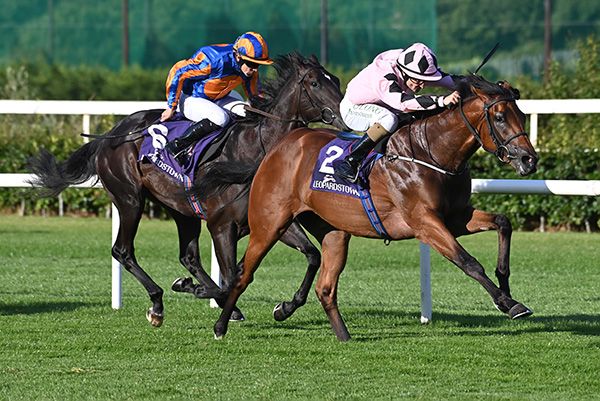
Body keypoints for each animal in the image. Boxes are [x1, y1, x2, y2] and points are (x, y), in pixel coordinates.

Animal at [27, 53, 346, 326]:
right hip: (130, 200)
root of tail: (112, 134)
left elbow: (312, 255)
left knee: (188, 256)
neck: (254, 151)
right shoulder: (221, 225)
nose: (344, 116)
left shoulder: (270, 219)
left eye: (335, 80)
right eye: (315, 83)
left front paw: (284, 307)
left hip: (181, 210)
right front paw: (196, 289)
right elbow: (232, 277)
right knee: (123, 250)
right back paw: (158, 303)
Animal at [212, 73, 540, 340]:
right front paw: (509, 304)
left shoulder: (455, 217)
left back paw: (339, 334)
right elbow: (468, 261)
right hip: (269, 224)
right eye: (499, 116)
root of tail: (280, 145)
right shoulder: (424, 222)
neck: (430, 152)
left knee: (325, 287)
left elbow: (503, 222)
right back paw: (221, 325)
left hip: (333, 231)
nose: (529, 159)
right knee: (243, 274)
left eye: (521, 114)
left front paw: (506, 286)